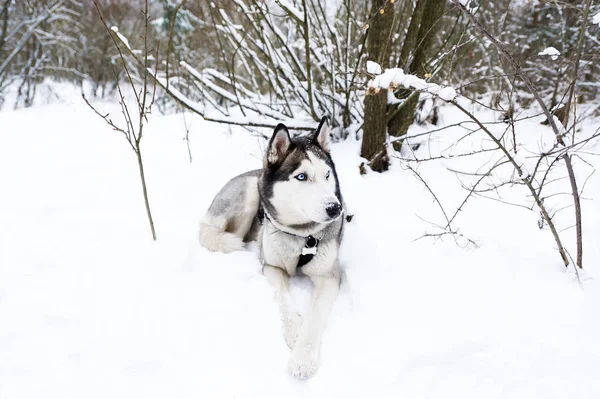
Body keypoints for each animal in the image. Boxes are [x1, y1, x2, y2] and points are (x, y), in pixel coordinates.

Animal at [199, 117, 344, 380]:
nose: (335, 208)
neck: (302, 236)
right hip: (248, 192)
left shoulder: (328, 276)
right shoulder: (273, 267)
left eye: (327, 174)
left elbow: (315, 315)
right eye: (301, 177)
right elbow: (283, 297)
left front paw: (303, 358)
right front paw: (294, 332)